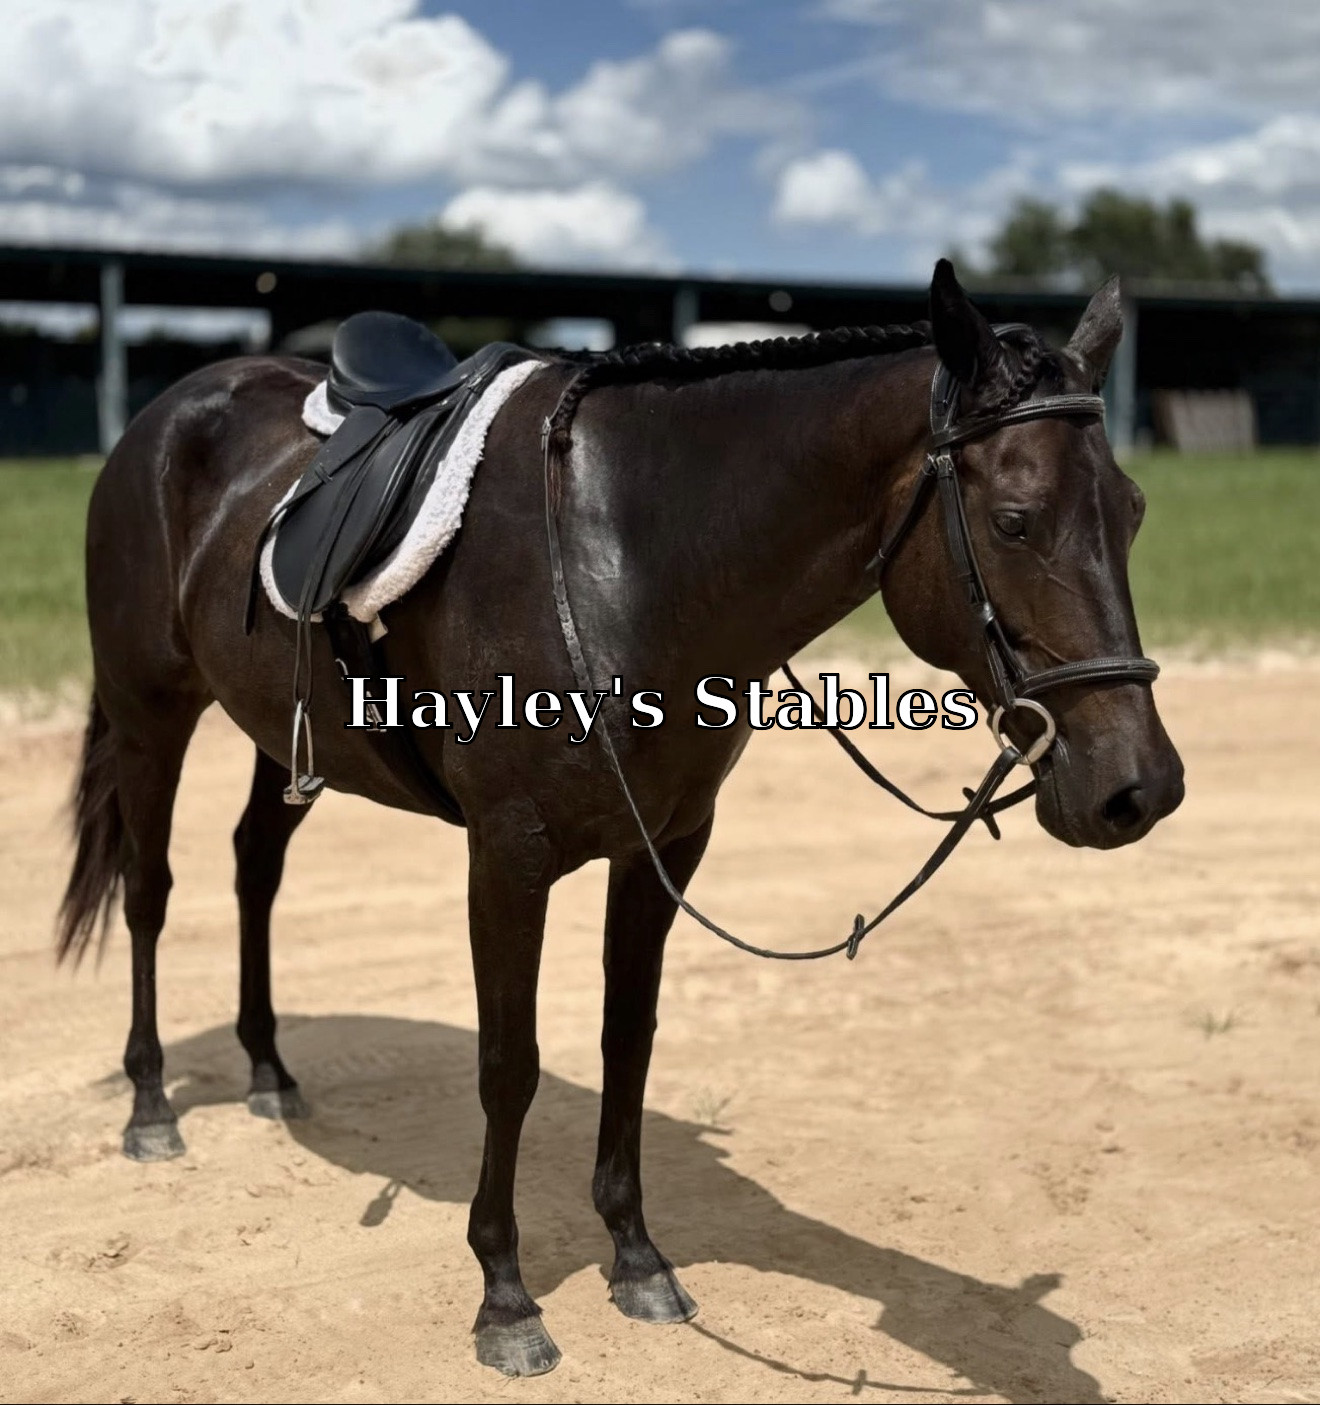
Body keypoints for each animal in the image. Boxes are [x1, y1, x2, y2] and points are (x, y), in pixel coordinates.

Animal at [57, 260, 1183, 1377]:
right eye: (1016, 519)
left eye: (1133, 511)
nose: (1142, 788)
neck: (633, 555)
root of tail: (169, 410)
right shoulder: (507, 856)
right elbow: (508, 1063)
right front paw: (505, 1295)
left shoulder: (667, 845)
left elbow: (625, 1038)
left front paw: (637, 1255)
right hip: (151, 711)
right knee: (150, 892)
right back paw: (153, 1106)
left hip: (282, 733)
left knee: (254, 866)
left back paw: (267, 1070)